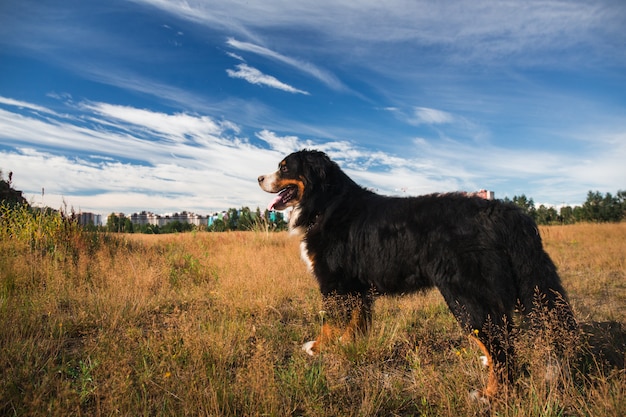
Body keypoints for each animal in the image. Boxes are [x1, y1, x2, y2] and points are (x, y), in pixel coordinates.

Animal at [258, 149, 576, 396]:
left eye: (284, 167)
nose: (259, 178)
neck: (326, 204)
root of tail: (502, 211)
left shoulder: (334, 282)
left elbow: (331, 322)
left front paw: (318, 347)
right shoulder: (357, 287)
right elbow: (355, 325)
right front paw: (349, 349)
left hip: (466, 295)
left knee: (500, 346)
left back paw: (490, 394)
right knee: (501, 336)